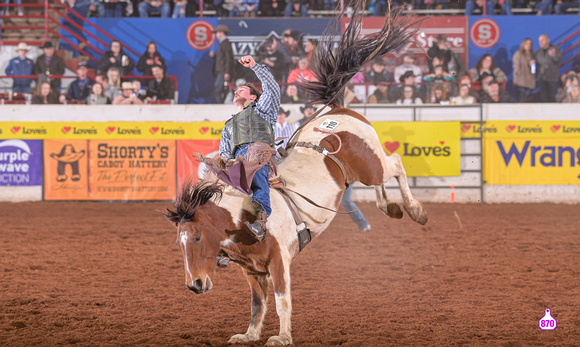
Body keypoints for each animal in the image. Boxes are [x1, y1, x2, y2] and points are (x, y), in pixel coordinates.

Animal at [163, 2, 426, 346]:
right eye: (178, 243)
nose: (194, 285)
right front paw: (249, 334)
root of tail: (336, 108)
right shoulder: (251, 270)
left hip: (371, 164)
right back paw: (390, 207)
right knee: (382, 183)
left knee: (394, 163)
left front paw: (283, 337)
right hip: (362, 172)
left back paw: (415, 210)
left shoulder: (279, 261)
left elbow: (281, 300)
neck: (243, 219)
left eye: (195, 237)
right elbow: (257, 303)